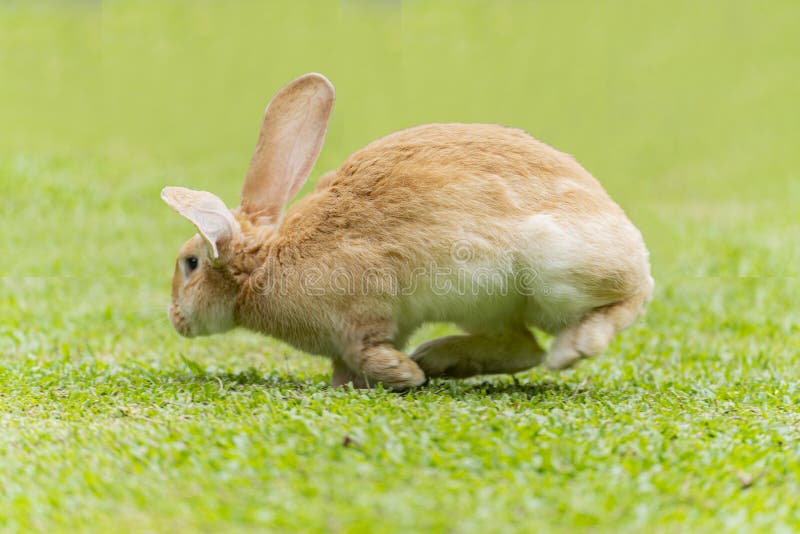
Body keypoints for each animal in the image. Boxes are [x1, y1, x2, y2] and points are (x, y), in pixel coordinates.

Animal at [161, 72, 654, 390]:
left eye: (190, 263)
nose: (177, 321)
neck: (262, 266)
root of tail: (633, 247)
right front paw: (363, 381)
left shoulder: (367, 309)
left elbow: (366, 349)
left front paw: (402, 375)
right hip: (491, 305)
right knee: (523, 345)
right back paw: (439, 359)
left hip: (556, 273)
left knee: (624, 302)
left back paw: (568, 349)